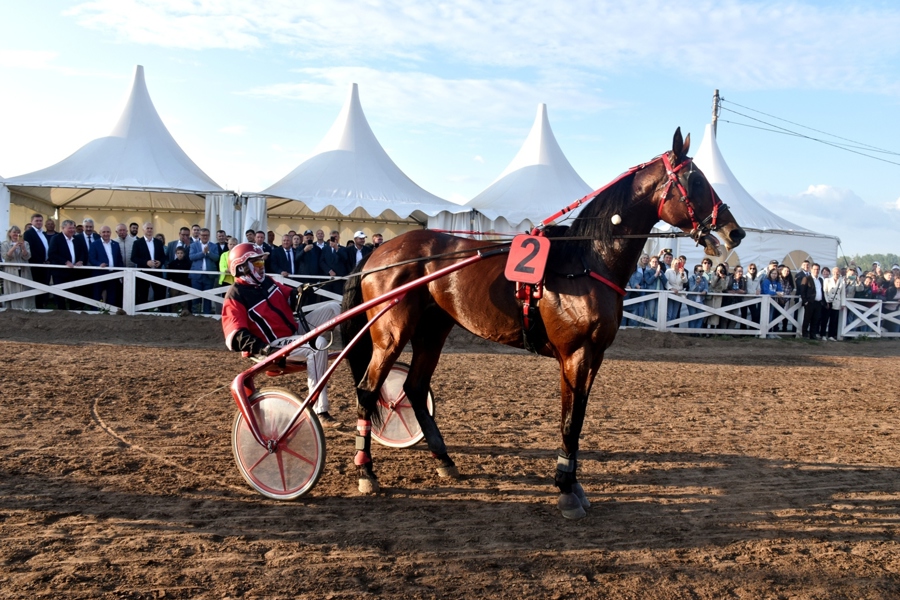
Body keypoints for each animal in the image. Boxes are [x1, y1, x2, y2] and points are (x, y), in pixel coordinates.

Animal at [342, 127, 740, 520]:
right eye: (696, 180)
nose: (735, 232)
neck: (587, 259)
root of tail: (378, 253)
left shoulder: (594, 356)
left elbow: (577, 419)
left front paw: (574, 484)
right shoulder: (575, 355)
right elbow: (569, 421)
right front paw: (565, 489)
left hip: (432, 330)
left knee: (414, 387)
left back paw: (444, 461)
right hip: (391, 334)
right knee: (368, 390)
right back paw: (366, 472)